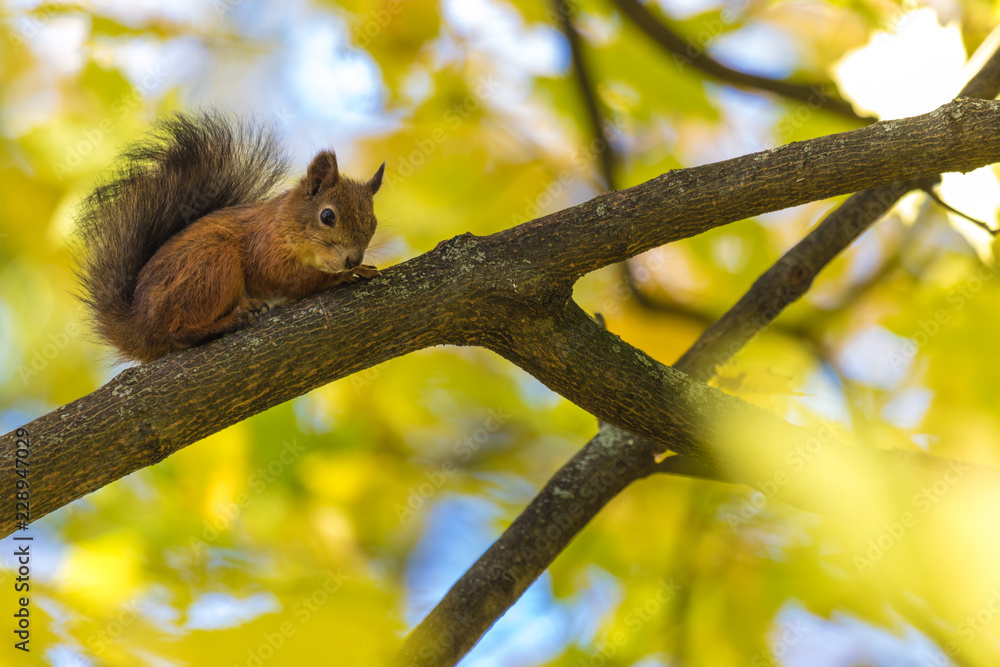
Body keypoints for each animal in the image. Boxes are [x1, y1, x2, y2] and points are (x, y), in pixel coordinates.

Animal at [74, 111, 385, 364]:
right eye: (328, 216)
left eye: (374, 223)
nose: (352, 259)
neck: (284, 223)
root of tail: (140, 327)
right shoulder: (264, 247)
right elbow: (286, 277)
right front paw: (344, 275)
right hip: (212, 264)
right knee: (178, 332)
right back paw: (234, 318)